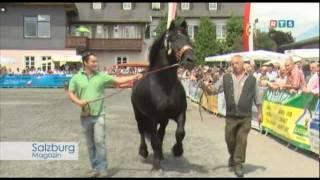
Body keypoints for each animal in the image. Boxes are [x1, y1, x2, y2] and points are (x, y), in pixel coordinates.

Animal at [131, 19, 195, 170]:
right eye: (174, 39)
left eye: (188, 38)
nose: (190, 60)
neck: (164, 86)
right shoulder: (152, 118)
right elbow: (154, 139)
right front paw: (156, 164)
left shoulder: (179, 113)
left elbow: (180, 133)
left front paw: (177, 150)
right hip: (139, 115)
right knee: (142, 131)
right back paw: (144, 151)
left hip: (163, 120)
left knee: (161, 134)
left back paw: (160, 154)